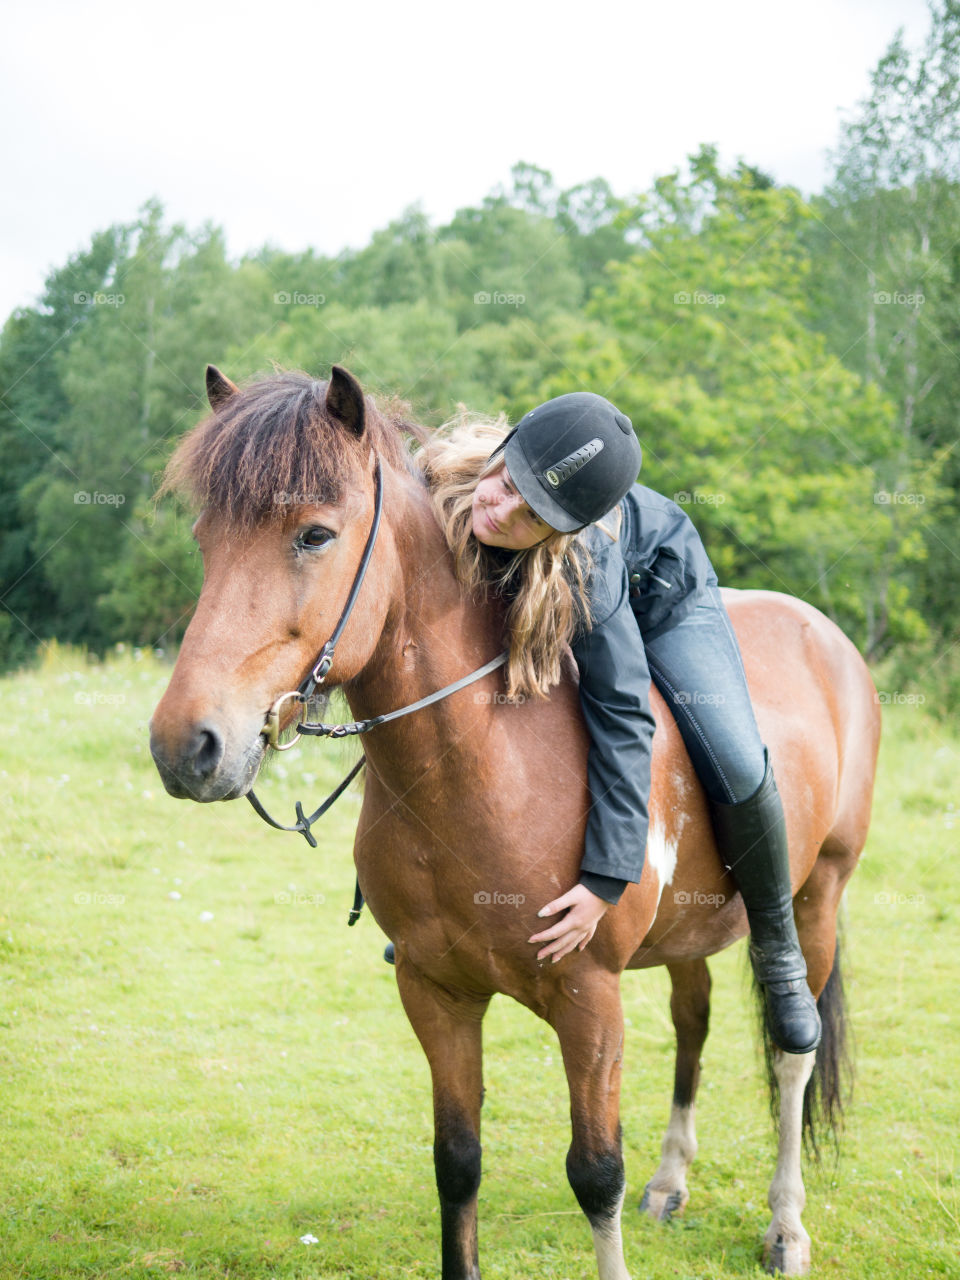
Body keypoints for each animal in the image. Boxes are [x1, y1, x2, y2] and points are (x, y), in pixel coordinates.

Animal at [152, 363, 885, 1280]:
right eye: (204, 538)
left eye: (315, 535)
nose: (186, 746)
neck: (484, 764)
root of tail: (828, 635)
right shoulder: (435, 992)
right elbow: (457, 1162)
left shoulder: (589, 998)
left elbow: (595, 1175)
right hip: (690, 932)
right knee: (694, 1022)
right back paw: (672, 1181)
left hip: (817, 897)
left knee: (793, 1049)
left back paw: (786, 1225)